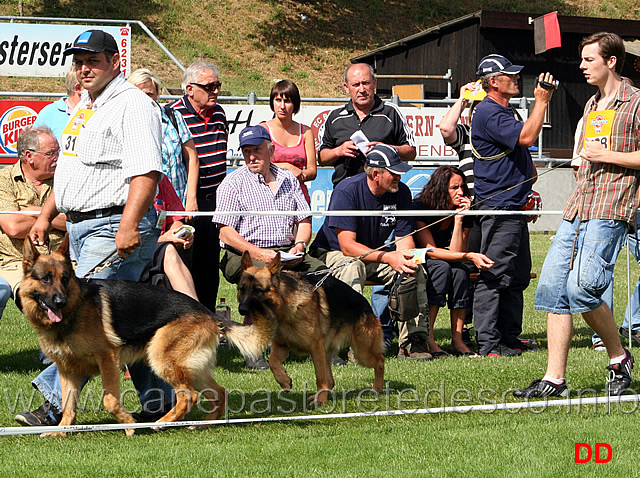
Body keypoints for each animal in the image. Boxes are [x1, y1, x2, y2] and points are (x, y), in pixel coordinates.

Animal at [18, 236, 272, 436]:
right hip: (192, 366)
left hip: (161, 357)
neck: (75, 308)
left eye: (64, 278)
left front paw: (128, 425)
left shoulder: (107, 359)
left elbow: (110, 400)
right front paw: (60, 430)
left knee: (188, 395)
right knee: (219, 392)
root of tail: (207, 312)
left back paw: (162, 423)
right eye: (46, 279)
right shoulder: (67, 370)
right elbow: (68, 404)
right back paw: (203, 425)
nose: (60, 301)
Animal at [238, 252, 382, 406]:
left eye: (258, 290)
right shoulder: (282, 345)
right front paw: (284, 380)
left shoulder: (315, 348)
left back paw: (376, 389)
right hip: (332, 353)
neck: (285, 306)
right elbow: (272, 362)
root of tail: (366, 304)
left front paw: (320, 401)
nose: (242, 310)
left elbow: (320, 378)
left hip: (361, 352)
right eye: (242, 289)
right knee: (331, 381)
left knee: (380, 361)